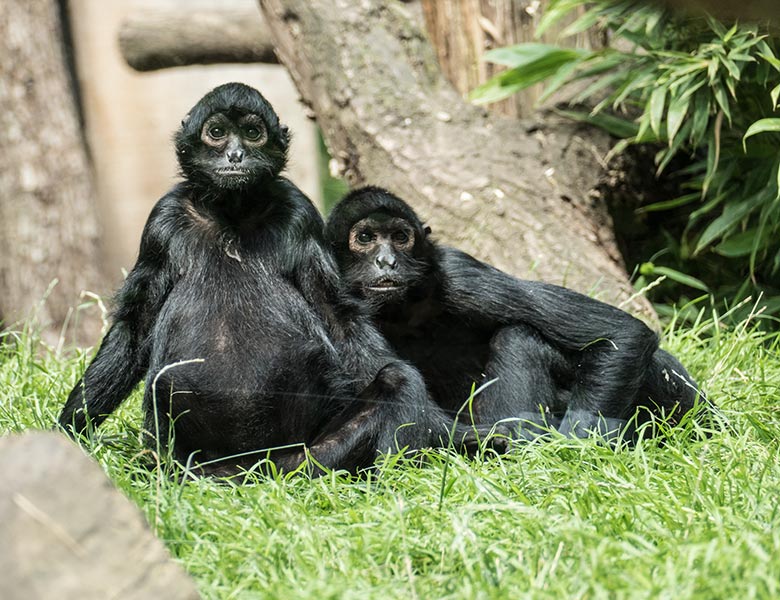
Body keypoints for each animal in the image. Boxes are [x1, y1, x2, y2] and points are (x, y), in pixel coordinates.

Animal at [59, 84, 500, 478]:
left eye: (253, 133)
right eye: (217, 132)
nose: (236, 153)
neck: (233, 216)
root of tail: (250, 467)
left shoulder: (300, 212)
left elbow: (340, 319)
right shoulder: (161, 220)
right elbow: (135, 328)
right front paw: (66, 436)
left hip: (308, 452)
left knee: (395, 378)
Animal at [326, 185, 704, 438]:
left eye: (400, 237)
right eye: (366, 237)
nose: (386, 260)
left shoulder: (459, 273)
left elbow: (622, 334)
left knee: (517, 336)